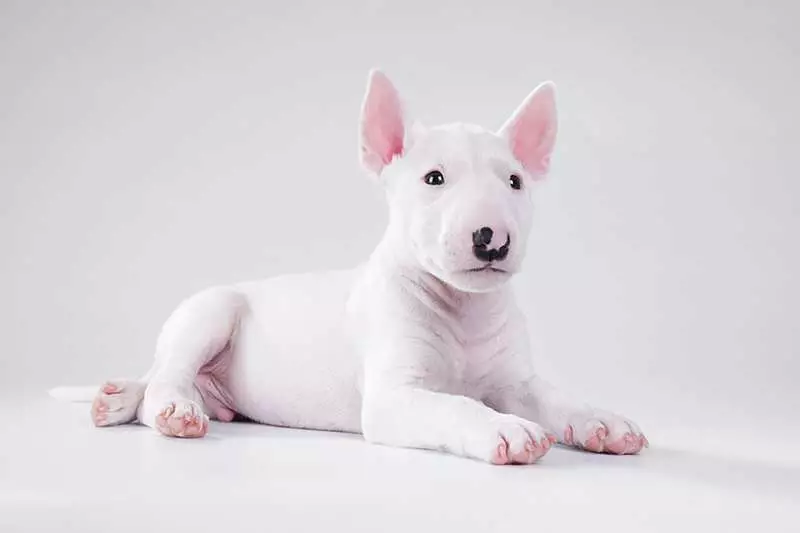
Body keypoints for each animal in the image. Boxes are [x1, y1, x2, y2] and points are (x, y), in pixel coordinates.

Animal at [50, 69, 648, 462]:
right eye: (434, 178)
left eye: (515, 181)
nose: (492, 239)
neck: (462, 309)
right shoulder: (393, 397)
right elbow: (456, 407)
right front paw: (510, 432)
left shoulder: (515, 380)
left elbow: (553, 396)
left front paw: (603, 421)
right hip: (209, 311)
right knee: (164, 379)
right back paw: (167, 408)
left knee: (152, 379)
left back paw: (117, 400)